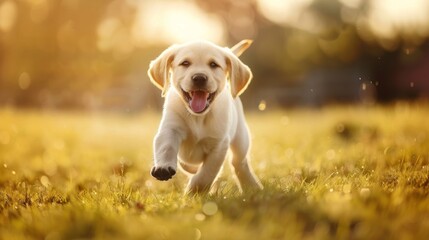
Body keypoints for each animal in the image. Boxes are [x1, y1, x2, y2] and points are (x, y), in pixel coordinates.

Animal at [148, 39, 260, 193]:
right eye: (185, 63)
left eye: (213, 65)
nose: (199, 78)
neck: (198, 117)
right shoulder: (170, 128)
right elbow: (166, 147)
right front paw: (163, 168)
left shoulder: (219, 145)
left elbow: (206, 175)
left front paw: (193, 192)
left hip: (241, 138)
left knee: (239, 163)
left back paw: (251, 186)